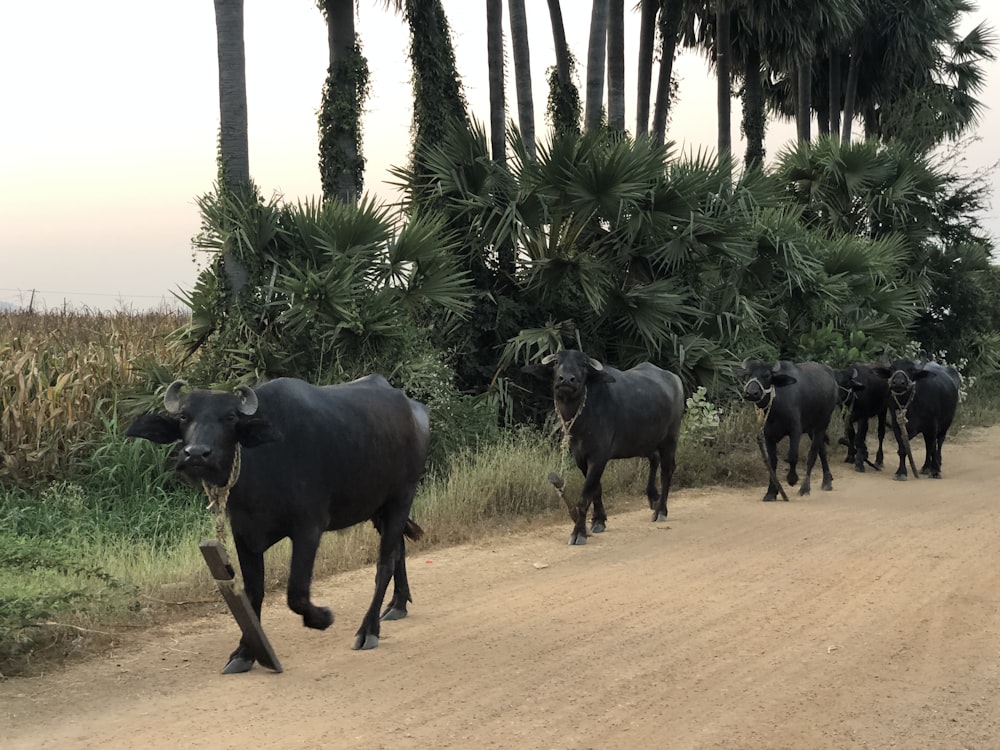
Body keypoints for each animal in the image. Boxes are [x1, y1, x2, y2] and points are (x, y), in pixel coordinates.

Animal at [123, 376, 428, 676]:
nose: (196, 454)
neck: (261, 468)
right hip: (378, 508)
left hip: (402, 496)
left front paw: (322, 617)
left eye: (230, 417)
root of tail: (414, 411)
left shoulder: (308, 528)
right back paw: (397, 604)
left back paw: (368, 630)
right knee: (398, 550)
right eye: (184, 417)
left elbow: (296, 593)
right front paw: (244, 653)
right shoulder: (243, 534)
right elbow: (252, 592)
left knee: (384, 563)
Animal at [520, 350, 684, 548]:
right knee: (654, 459)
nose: (566, 379)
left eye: (583, 364)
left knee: (667, 470)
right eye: (557, 362)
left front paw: (579, 533)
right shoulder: (581, 459)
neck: (582, 417)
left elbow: (585, 496)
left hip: (670, 439)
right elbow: (596, 489)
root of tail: (675, 379)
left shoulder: (598, 457)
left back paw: (660, 510)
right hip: (646, 441)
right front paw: (598, 520)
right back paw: (653, 497)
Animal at [740, 362, 840, 502]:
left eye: (766, 375)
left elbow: (792, 456)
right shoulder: (768, 436)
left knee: (812, 455)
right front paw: (771, 492)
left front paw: (792, 479)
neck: (776, 408)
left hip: (822, 424)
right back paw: (827, 481)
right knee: (822, 451)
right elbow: (772, 462)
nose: (751, 393)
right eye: (747, 375)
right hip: (812, 429)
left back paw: (805, 488)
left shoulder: (795, 431)